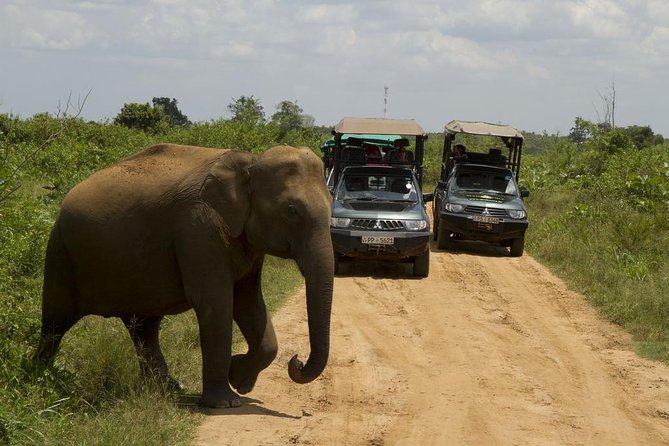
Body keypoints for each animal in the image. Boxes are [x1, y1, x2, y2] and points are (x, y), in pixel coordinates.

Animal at [34, 143, 334, 408]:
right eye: (292, 210)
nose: (296, 360)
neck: (250, 162)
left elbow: (248, 302)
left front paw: (239, 379)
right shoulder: (197, 226)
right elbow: (216, 302)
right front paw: (227, 402)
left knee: (143, 327)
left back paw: (168, 388)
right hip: (60, 251)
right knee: (55, 322)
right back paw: (38, 377)